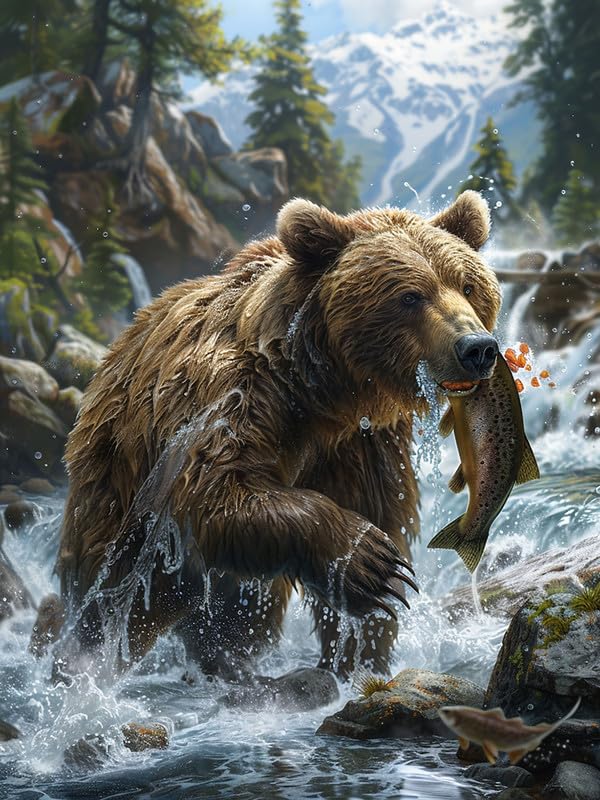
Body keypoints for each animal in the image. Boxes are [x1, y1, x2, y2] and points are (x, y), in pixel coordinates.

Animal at [51, 190, 501, 682]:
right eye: (410, 296)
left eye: (468, 285)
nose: (476, 348)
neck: (322, 390)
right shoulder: (229, 395)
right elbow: (212, 489)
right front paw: (369, 560)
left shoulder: (362, 441)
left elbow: (379, 507)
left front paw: (361, 653)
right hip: (116, 502)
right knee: (113, 603)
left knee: (236, 617)